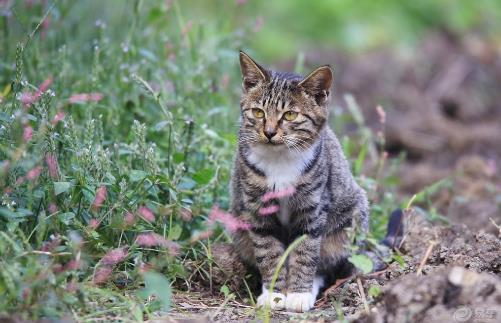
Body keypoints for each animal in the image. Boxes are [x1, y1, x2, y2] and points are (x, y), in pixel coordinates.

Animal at [229, 52, 368, 312]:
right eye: (258, 112)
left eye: (290, 115)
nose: (269, 132)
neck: (279, 160)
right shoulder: (257, 209)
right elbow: (268, 252)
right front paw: (273, 293)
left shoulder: (312, 208)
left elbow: (305, 252)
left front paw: (298, 294)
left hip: (349, 221)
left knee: (324, 265)